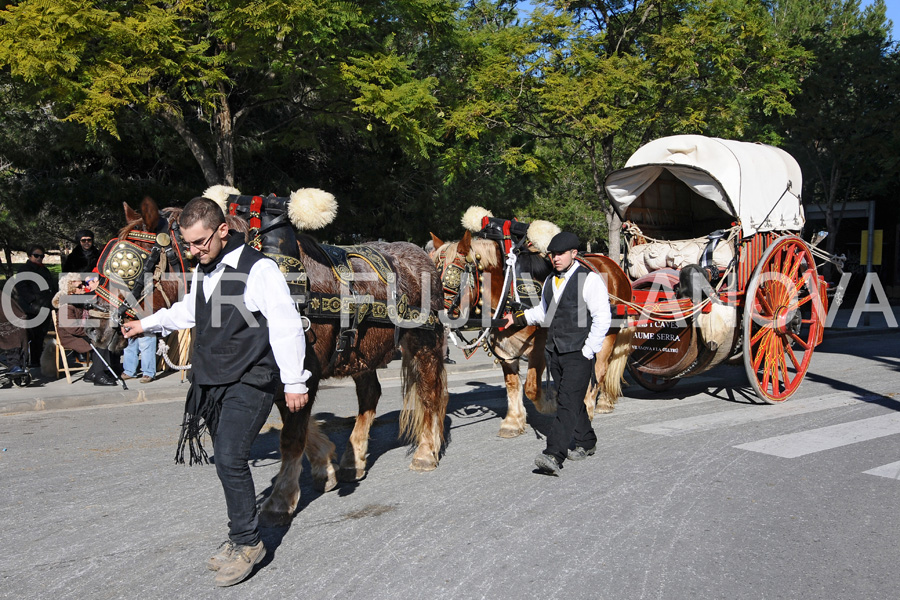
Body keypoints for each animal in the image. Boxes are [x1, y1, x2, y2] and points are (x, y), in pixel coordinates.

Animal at [88, 195, 446, 524]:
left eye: (131, 267)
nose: (94, 330)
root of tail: (421, 257)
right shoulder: (277, 374)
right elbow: (298, 425)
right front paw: (325, 465)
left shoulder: (303, 370)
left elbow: (292, 436)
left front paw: (282, 497)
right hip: (361, 355)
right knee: (369, 396)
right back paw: (352, 459)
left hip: (424, 343)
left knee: (430, 393)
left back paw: (426, 451)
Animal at [430, 229, 632, 436]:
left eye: (453, 274)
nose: (433, 313)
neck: (508, 291)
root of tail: (614, 266)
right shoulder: (505, 351)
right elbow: (512, 385)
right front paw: (513, 422)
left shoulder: (539, 348)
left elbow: (531, 387)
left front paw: (550, 405)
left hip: (607, 333)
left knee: (599, 369)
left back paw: (590, 405)